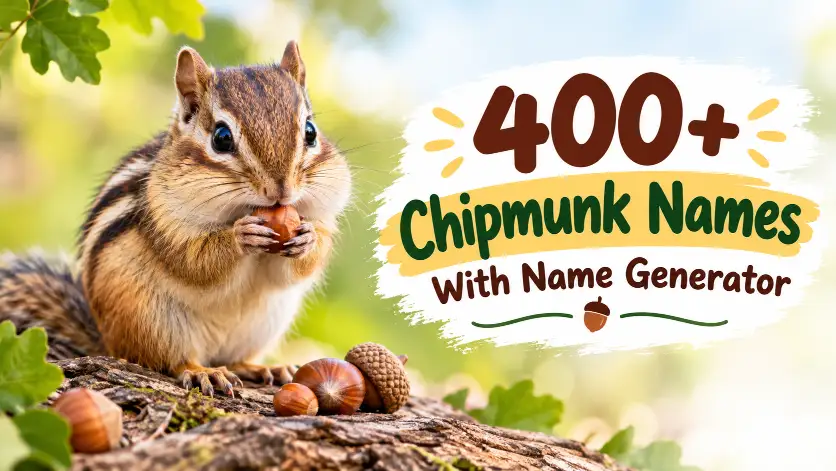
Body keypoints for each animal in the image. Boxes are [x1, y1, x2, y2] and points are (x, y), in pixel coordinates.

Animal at [0, 41, 352, 397]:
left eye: (310, 132)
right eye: (221, 138)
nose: (281, 190)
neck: (240, 207)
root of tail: (107, 339)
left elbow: (298, 267)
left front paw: (308, 238)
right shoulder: (163, 220)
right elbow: (193, 262)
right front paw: (241, 235)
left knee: (236, 358)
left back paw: (264, 368)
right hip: (151, 320)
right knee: (173, 359)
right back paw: (203, 372)